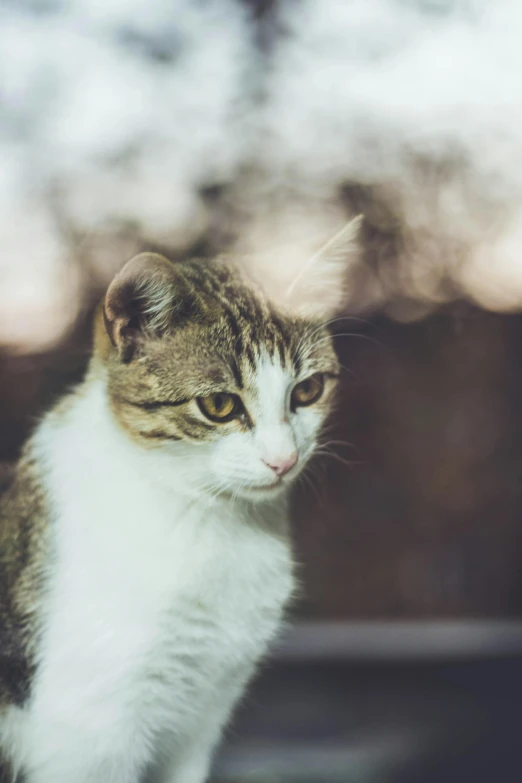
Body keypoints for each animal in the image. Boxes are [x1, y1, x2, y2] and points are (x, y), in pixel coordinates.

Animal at [0, 242, 348, 780]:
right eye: (219, 405)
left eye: (308, 391)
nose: (283, 459)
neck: (205, 515)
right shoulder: (90, 735)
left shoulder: (201, 718)